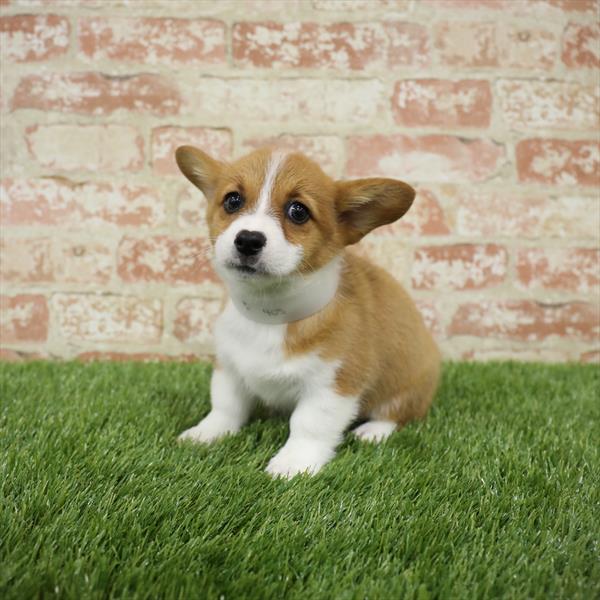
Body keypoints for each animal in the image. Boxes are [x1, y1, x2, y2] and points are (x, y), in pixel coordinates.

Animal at [176, 148, 438, 480]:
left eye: (298, 211)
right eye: (232, 200)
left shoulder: (333, 383)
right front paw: (207, 432)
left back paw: (373, 431)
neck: (272, 314)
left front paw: (293, 462)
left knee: (397, 414)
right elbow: (225, 406)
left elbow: (308, 424)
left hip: (407, 385)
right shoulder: (229, 367)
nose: (248, 240)